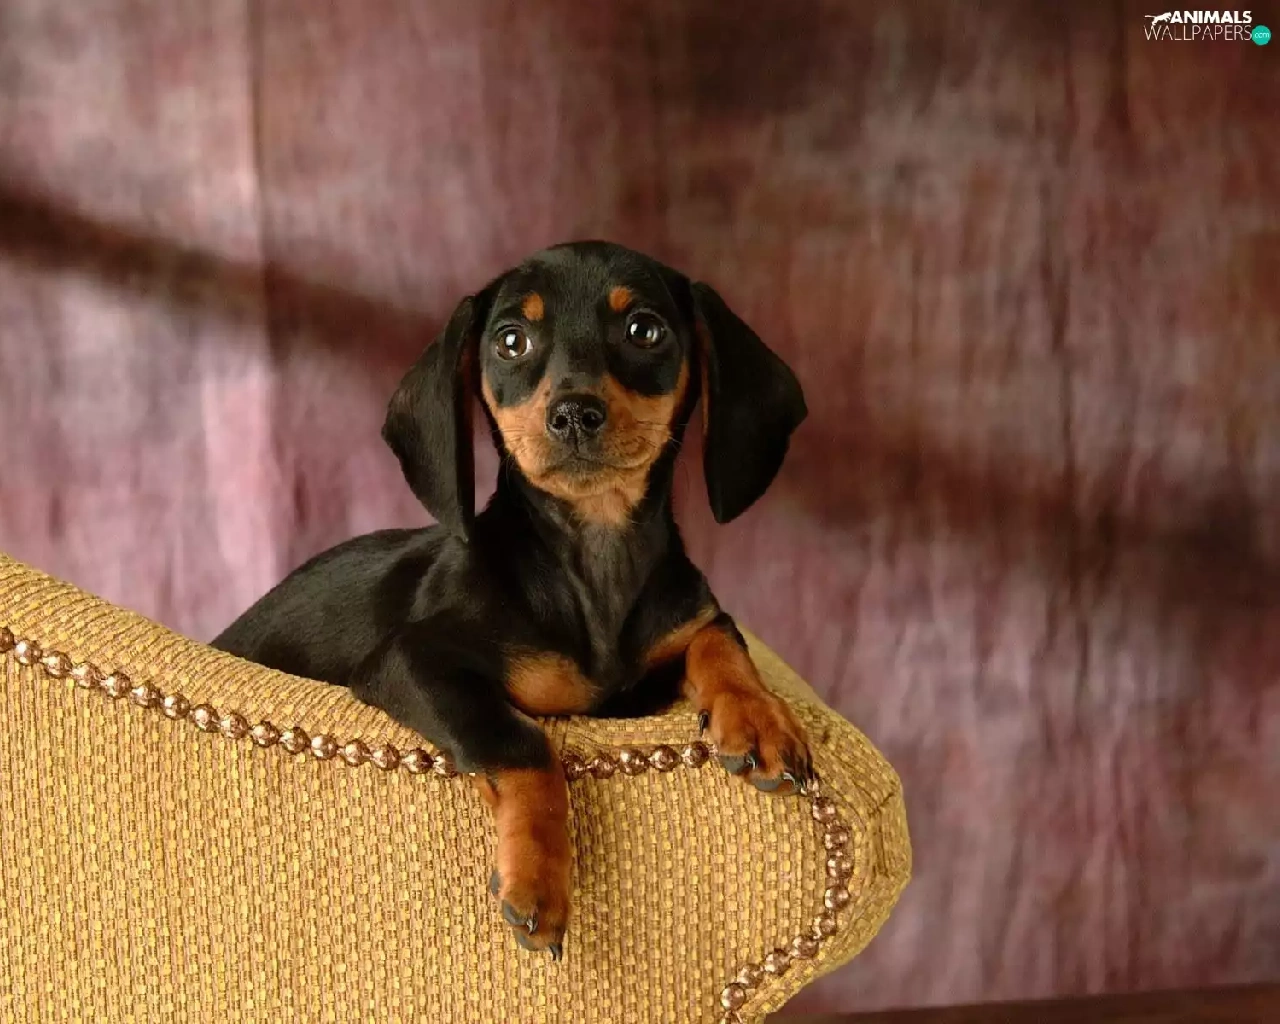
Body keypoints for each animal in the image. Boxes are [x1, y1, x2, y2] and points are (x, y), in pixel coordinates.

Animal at [213, 240, 812, 959]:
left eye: (645, 330)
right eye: (510, 340)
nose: (574, 414)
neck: (591, 562)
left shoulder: (679, 633)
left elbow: (719, 637)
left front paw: (757, 716)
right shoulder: (410, 659)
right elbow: (520, 740)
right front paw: (539, 880)